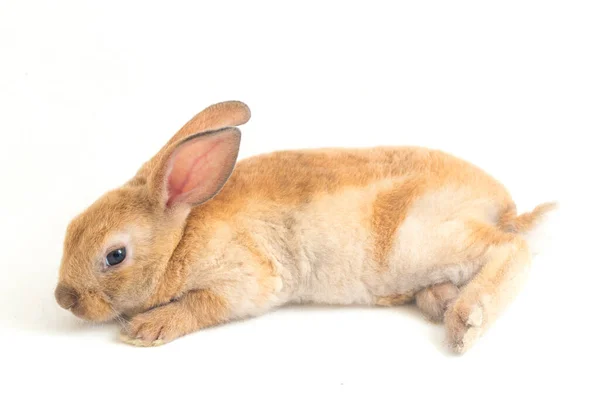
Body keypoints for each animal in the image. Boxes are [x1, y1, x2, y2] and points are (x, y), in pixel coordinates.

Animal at [54, 101, 556, 354]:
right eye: (72, 226)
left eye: (115, 255)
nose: (63, 299)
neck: (178, 237)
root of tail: (503, 207)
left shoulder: (244, 280)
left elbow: (201, 305)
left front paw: (146, 329)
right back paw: (441, 302)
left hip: (424, 239)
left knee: (510, 250)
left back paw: (465, 322)